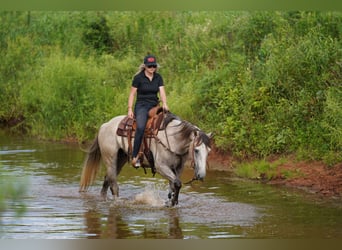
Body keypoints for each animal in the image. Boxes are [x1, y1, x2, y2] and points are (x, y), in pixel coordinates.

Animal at [79, 112, 211, 206]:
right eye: (196, 150)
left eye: (208, 152)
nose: (201, 175)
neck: (173, 139)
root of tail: (104, 125)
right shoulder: (161, 167)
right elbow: (177, 183)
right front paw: (173, 202)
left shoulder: (177, 169)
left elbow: (173, 185)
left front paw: (170, 201)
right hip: (110, 160)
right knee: (113, 184)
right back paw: (117, 202)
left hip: (120, 159)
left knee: (107, 180)